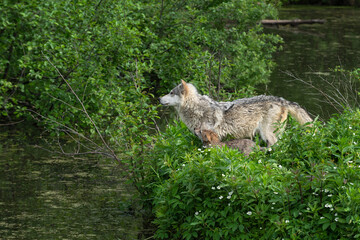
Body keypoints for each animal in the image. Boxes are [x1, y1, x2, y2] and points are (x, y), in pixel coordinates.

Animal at [160, 80, 312, 146]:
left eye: (171, 92)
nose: (159, 99)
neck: (196, 109)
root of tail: (282, 100)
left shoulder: (211, 136)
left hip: (268, 135)